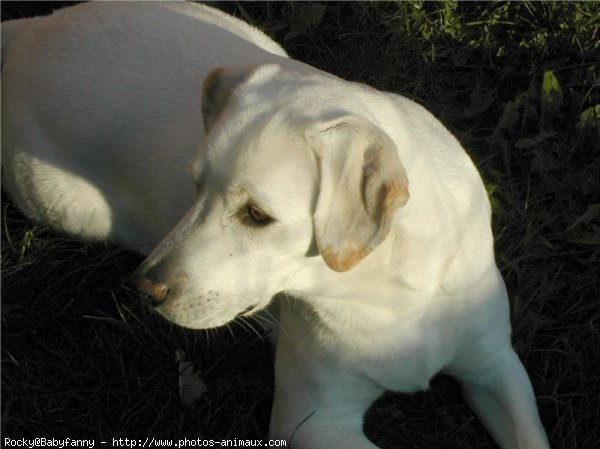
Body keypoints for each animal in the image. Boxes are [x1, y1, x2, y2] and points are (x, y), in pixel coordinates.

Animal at [2, 3, 552, 448]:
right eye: (195, 186)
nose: (145, 289)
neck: (389, 285)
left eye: (257, 215)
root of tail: (35, 26)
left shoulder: (495, 364)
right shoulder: (312, 421)